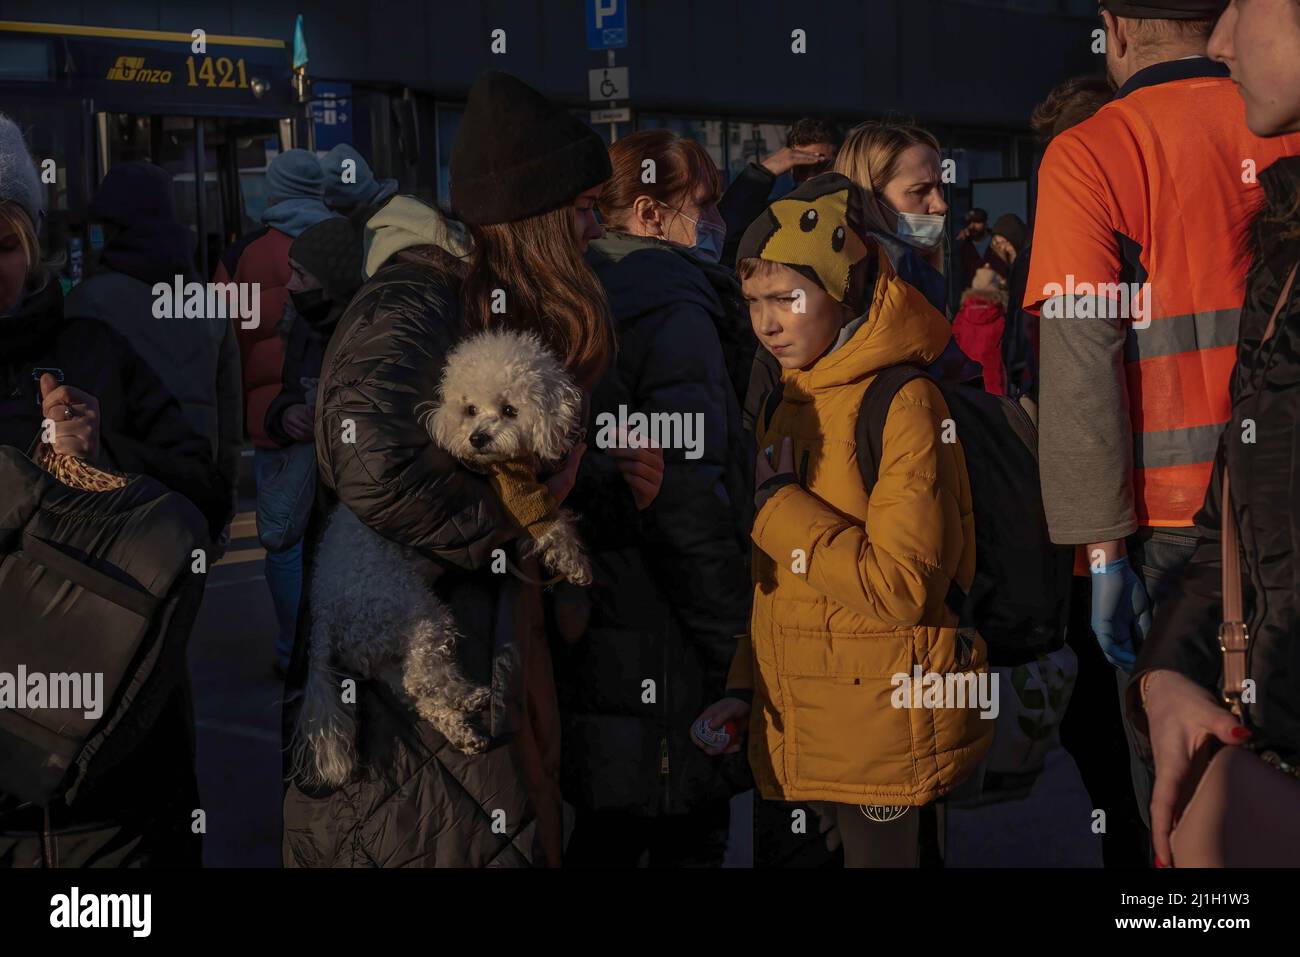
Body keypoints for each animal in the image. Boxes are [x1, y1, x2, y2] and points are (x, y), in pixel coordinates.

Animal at [295, 325, 590, 790]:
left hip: (382, 648)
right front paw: (576, 563)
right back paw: (471, 697)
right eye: (470, 409)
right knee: (423, 676)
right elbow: (551, 524)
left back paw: (461, 725)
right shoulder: (518, 496)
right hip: (412, 610)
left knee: (416, 691)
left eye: (509, 410)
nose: (477, 438)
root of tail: (323, 616)